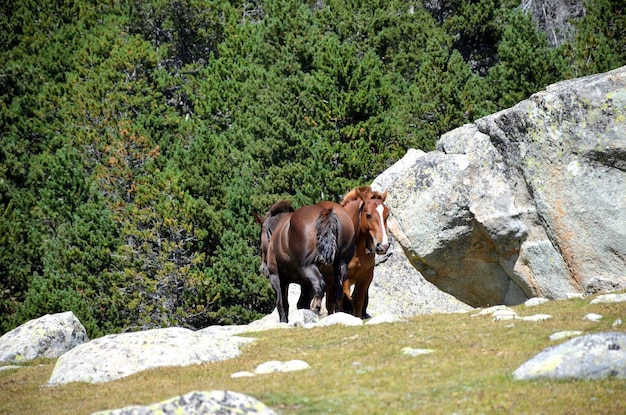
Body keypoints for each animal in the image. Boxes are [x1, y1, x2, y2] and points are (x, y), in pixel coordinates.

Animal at [338, 187, 388, 320]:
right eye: (368, 215)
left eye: (387, 215)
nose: (383, 246)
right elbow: (342, 300)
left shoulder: (365, 277)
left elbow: (358, 301)